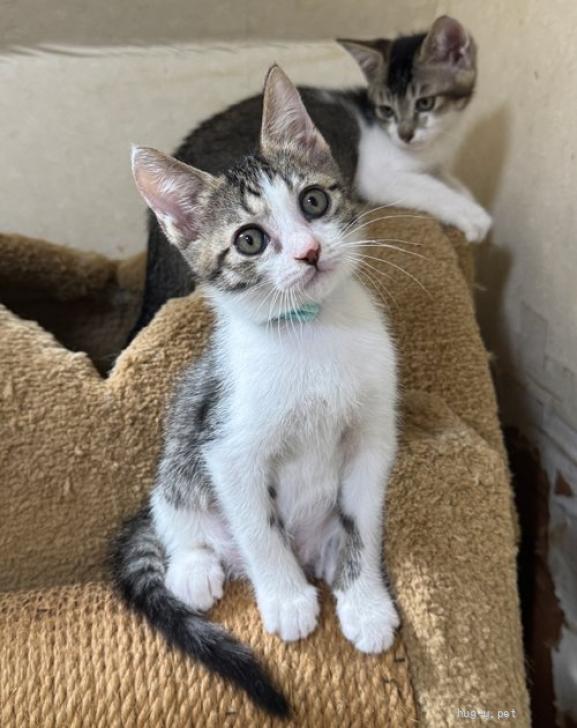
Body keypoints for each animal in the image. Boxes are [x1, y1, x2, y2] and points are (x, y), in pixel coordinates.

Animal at [112, 65, 399, 717]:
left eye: (314, 201)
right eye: (249, 240)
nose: (310, 251)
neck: (312, 331)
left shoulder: (372, 438)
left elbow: (362, 522)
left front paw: (366, 603)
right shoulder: (228, 446)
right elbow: (260, 528)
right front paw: (288, 601)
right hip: (184, 447)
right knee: (174, 510)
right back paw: (193, 570)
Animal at [129, 14, 490, 339]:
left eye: (425, 103)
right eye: (386, 110)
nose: (406, 135)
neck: (426, 151)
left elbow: (447, 179)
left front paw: (466, 196)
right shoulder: (377, 175)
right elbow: (428, 188)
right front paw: (474, 217)